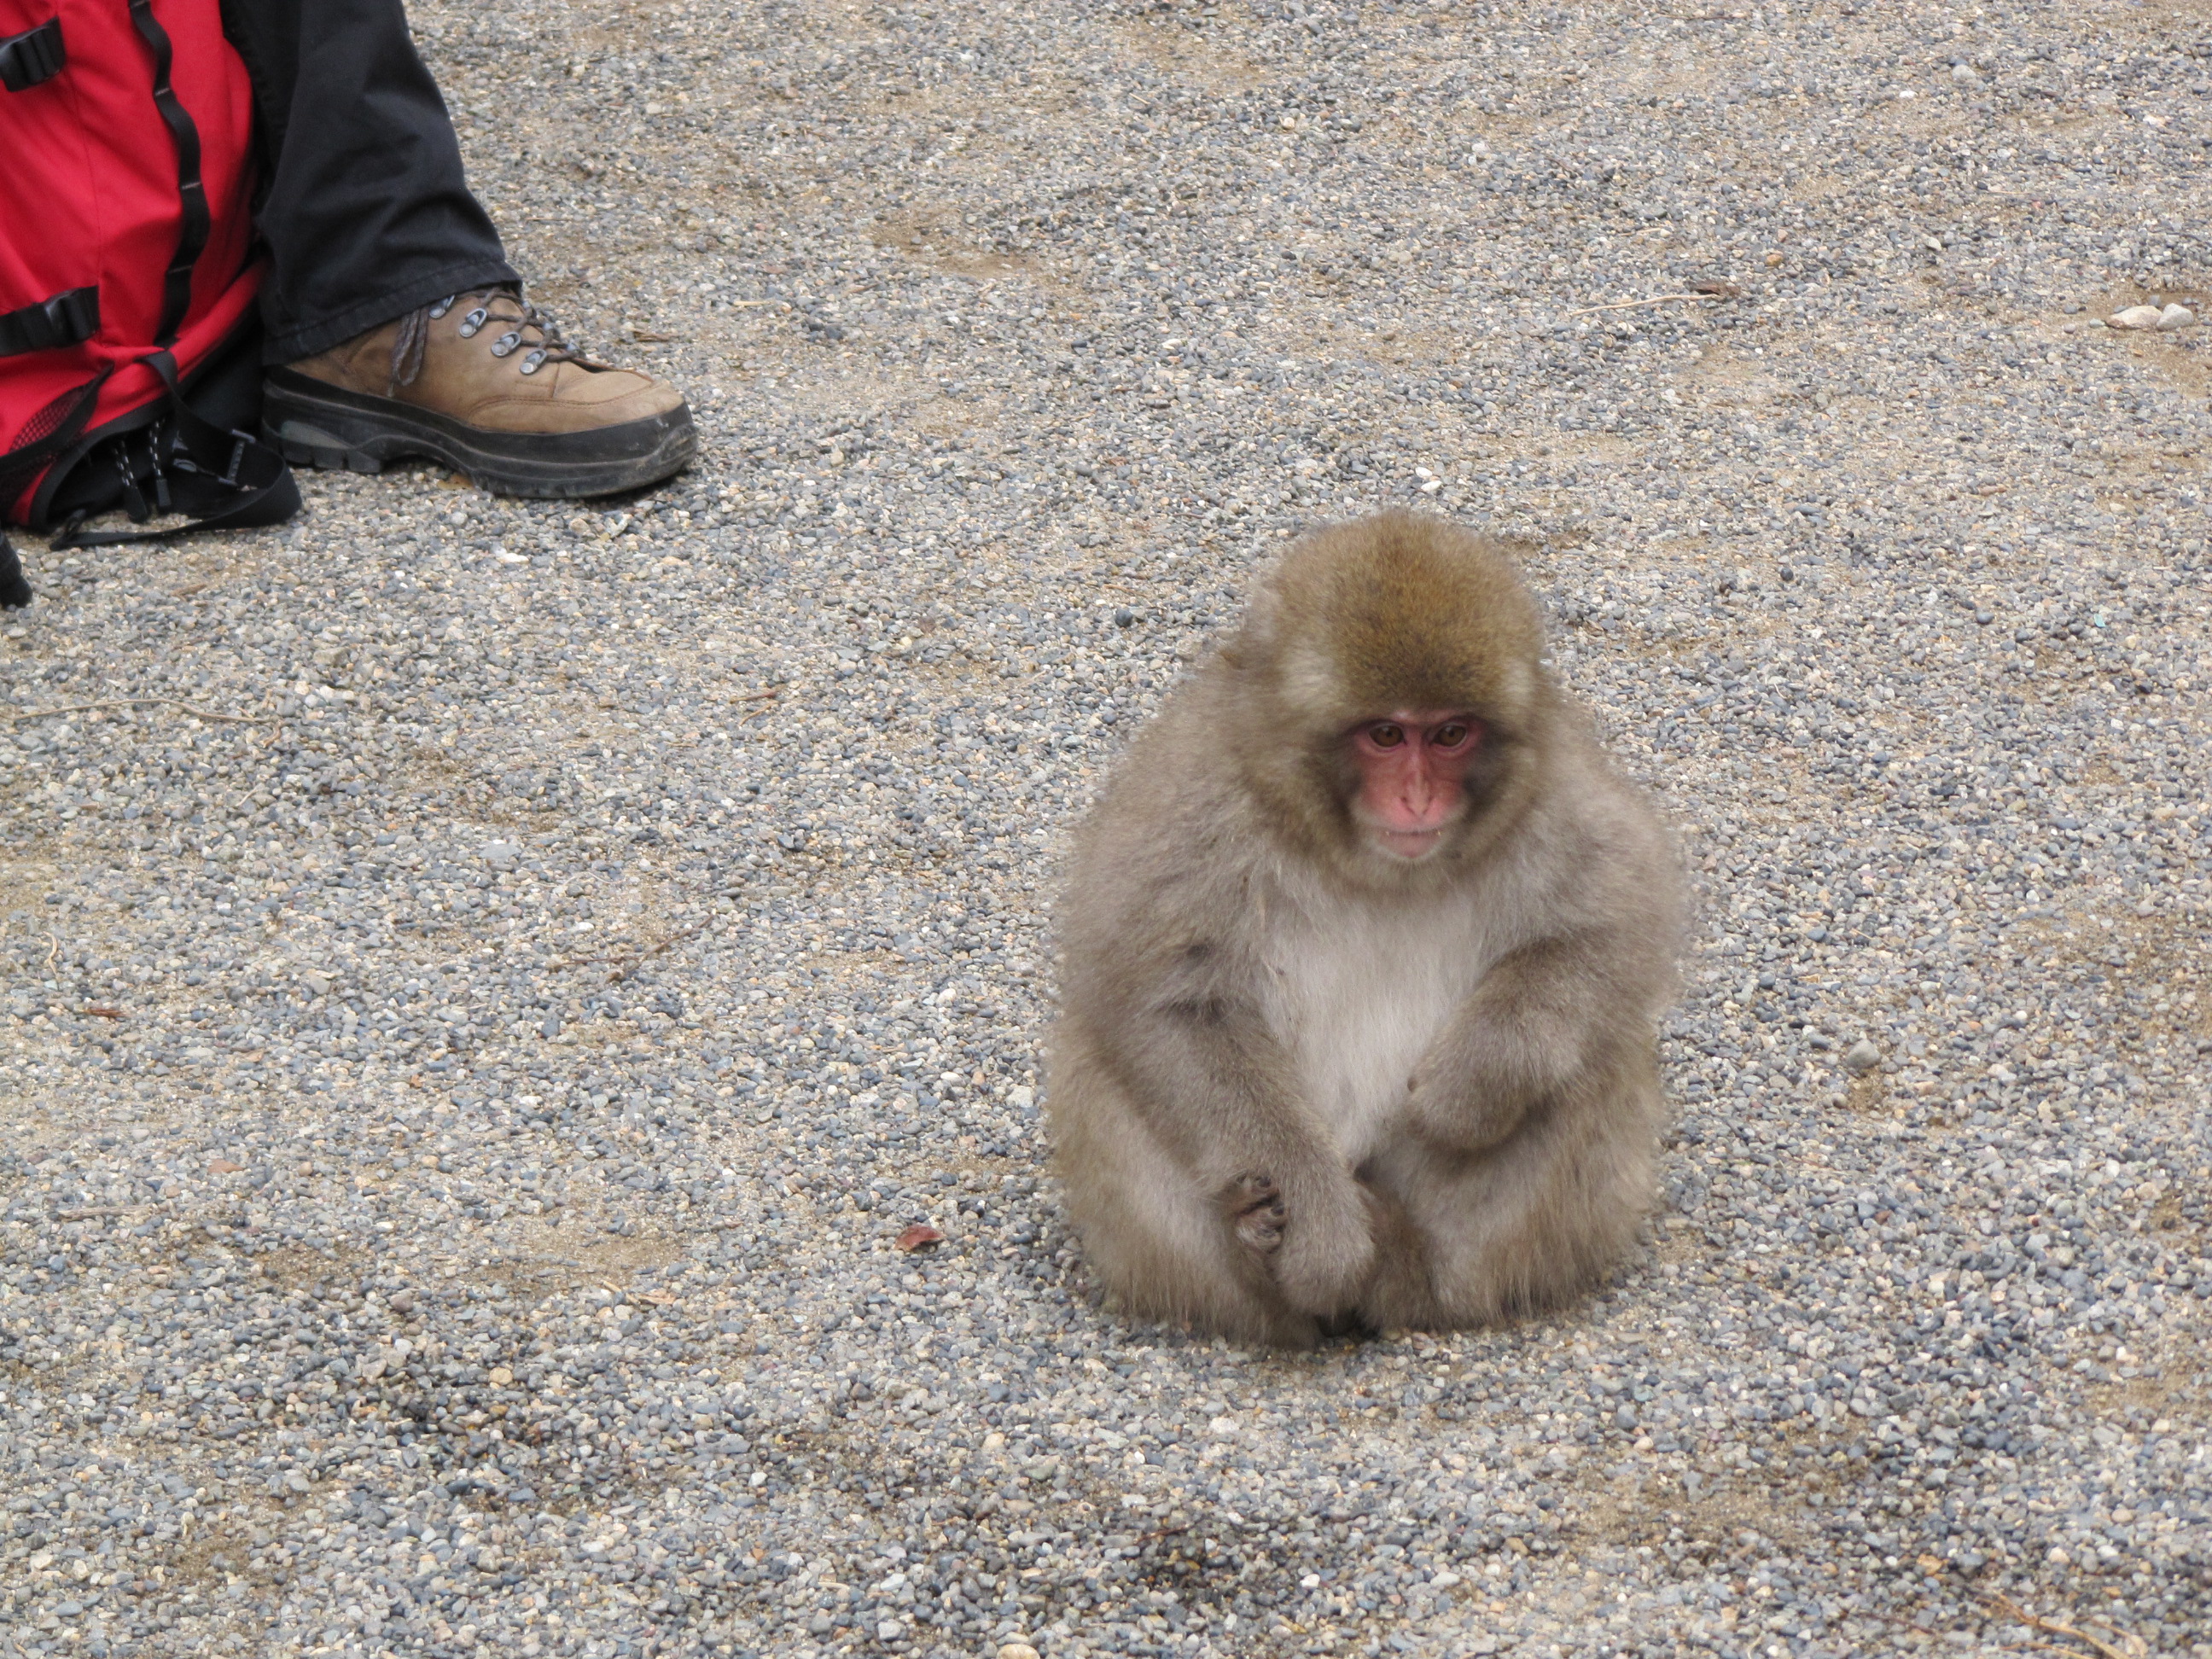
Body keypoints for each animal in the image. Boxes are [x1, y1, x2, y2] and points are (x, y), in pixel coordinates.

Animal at [1047, 510, 1683, 1348]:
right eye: (1385, 735)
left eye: (1449, 735)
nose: (1417, 800)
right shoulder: (1195, 808)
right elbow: (1170, 1005)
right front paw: (1321, 1238)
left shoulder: (1554, 796)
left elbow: (1617, 920)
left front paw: (1465, 1090)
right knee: (1098, 1063)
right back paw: (1265, 1254)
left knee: (1595, 1051)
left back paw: (1417, 1275)